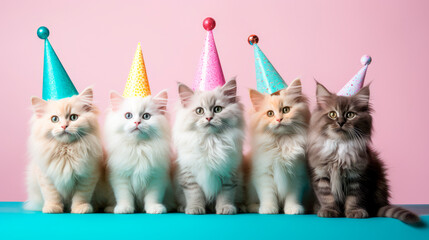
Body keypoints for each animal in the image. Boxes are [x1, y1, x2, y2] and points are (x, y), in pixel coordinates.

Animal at [171, 79, 244, 215]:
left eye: (217, 109)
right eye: (199, 111)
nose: (209, 118)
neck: (210, 141)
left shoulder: (228, 175)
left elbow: (226, 195)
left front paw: (225, 208)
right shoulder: (189, 175)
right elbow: (194, 195)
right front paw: (195, 209)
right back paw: (183, 208)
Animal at [244, 79, 310, 215]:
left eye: (285, 110)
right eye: (270, 113)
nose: (279, 119)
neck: (281, 143)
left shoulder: (296, 175)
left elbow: (292, 196)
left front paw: (293, 209)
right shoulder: (264, 175)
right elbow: (268, 196)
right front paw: (269, 209)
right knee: (249, 204)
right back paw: (255, 207)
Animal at [306, 82, 420, 223]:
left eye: (350, 115)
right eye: (332, 114)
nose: (340, 122)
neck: (340, 146)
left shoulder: (358, 176)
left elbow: (354, 198)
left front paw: (354, 212)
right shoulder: (321, 175)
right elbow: (327, 198)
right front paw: (329, 211)